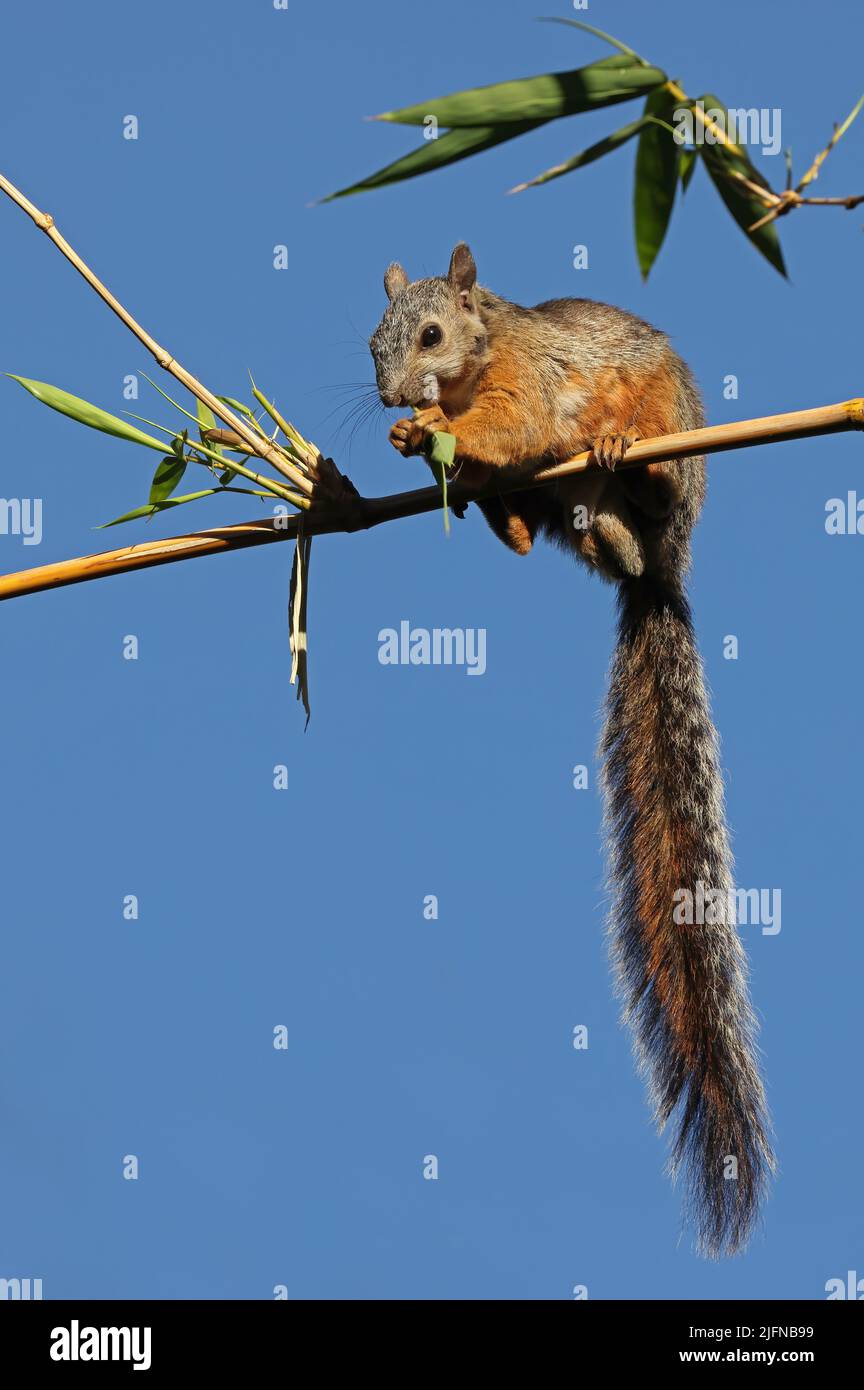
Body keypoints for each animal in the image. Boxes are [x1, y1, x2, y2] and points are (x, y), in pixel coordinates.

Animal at [369, 243, 774, 1258]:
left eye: (431, 334)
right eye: (371, 345)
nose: (393, 396)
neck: (482, 356)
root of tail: (659, 575)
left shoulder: (534, 381)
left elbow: (511, 423)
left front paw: (438, 428)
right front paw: (409, 440)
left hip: (667, 435)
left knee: (644, 491)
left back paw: (632, 462)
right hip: (568, 511)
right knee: (560, 529)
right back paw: (515, 520)